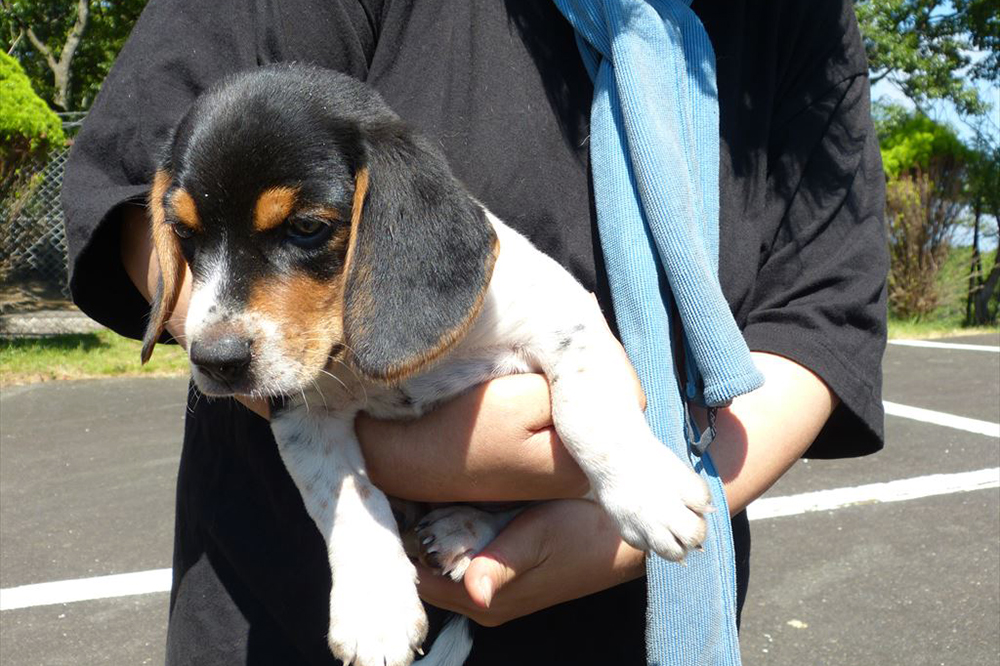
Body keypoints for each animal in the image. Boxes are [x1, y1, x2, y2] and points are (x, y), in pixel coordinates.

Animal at [145, 63, 712, 664]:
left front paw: (649, 495)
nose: (215, 360)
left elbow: (588, 417)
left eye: (306, 227)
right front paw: (376, 612)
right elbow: (343, 498)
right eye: (183, 233)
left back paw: (467, 526)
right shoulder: (302, 414)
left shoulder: (567, 321)